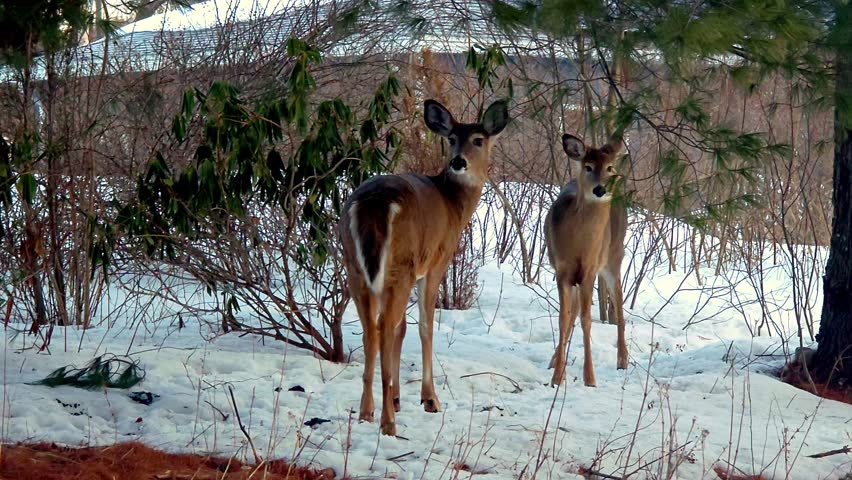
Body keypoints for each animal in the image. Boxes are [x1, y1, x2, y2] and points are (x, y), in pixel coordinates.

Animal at [338, 99, 509, 436]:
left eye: (477, 140)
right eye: (452, 138)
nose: (458, 162)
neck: (454, 205)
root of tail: (373, 203)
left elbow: (404, 328)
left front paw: (398, 399)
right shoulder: (435, 264)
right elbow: (426, 327)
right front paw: (429, 399)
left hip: (355, 267)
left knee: (371, 330)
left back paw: (367, 412)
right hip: (401, 266)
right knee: (383, 327)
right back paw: (387, 422)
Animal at [544, 133, 628, 387]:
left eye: (609, 167)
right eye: (588, 166)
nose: (601, 189)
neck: (580, 244)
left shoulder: (590, 269)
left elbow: (587, 320)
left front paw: (590, 378)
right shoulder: (563, 270)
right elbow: (564, 319)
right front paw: (557, 377)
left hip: (614, 257)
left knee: (619, 304)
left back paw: (623, 360)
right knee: (572, 313)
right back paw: (554, 360)